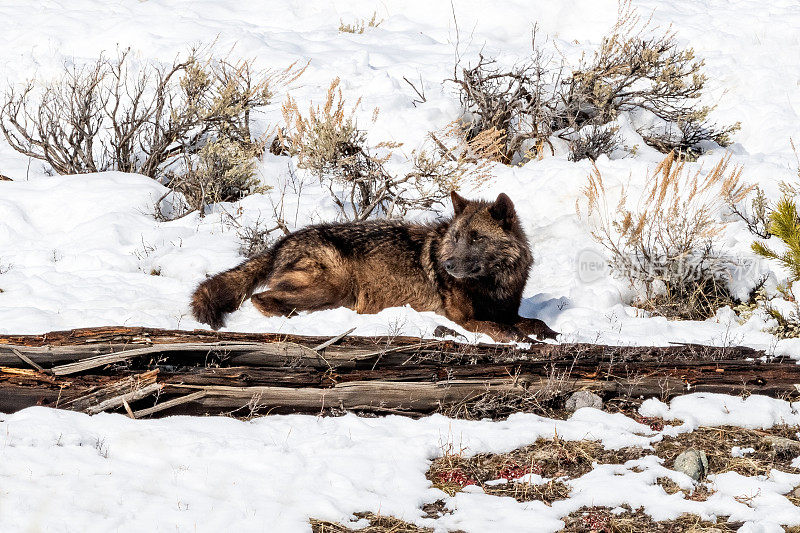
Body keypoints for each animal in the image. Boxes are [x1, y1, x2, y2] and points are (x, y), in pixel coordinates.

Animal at [191, 191, 560, 340]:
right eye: (455, 237)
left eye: (476, 238)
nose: (447, 264)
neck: (492, 284)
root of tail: (280, 243)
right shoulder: (461, 318)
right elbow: (497, 327)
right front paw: (515, 336)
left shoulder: (508, 310)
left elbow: (535, 321)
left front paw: (551, 333)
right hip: (334, 285)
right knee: (261, 298)